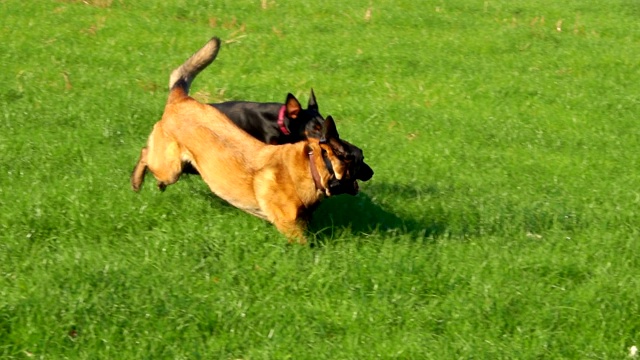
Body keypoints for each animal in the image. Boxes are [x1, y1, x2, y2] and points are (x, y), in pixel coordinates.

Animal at [132, 36, 372, 243]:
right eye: (361, 158)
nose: (372, 172)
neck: (314, 166)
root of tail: (181, 99)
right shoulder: (290, 226)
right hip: (170, 168)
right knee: (145, 155)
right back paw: (136, 181)